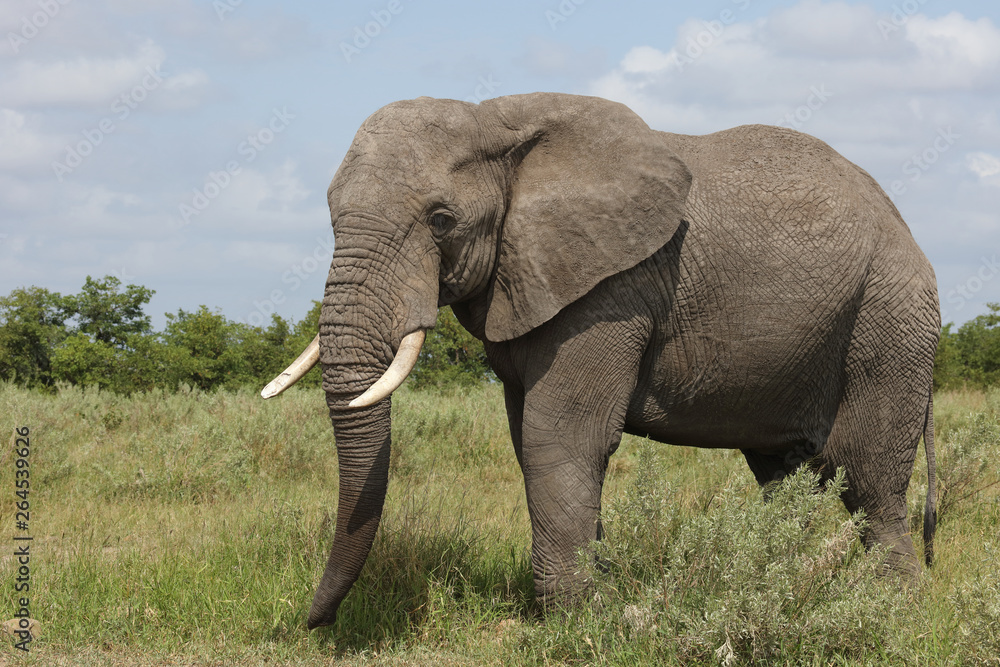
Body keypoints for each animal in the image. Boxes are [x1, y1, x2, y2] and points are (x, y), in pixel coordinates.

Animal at [261, 92, 940, 630]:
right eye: (329, 215)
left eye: (442, 219)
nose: (308, 623)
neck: (496, 121)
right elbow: (529, 437)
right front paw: (599, 597)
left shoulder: (612, 290)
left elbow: (559, 436)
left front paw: (576, 616)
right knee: (784, 475)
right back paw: (779, 584)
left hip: (890, 315)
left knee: (867, 473)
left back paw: (894, 610)